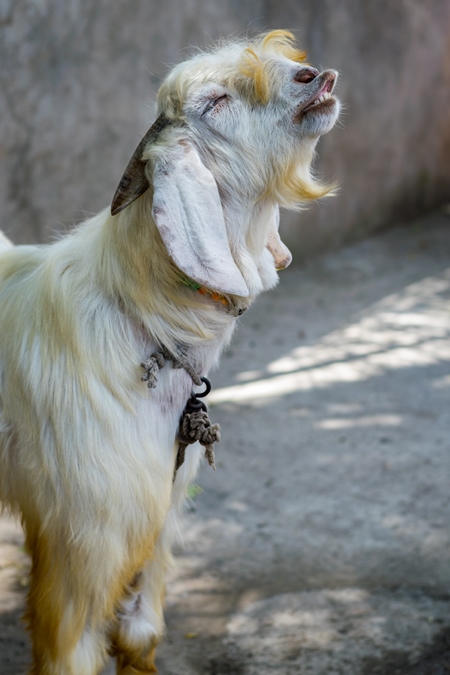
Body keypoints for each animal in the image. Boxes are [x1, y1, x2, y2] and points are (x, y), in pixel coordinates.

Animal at [0, 29, 338, 672]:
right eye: (215, 102)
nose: (315, 77)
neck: (143, 317)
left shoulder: (159, 504)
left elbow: (139, 632)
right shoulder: (84, 536)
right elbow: (71, 645)